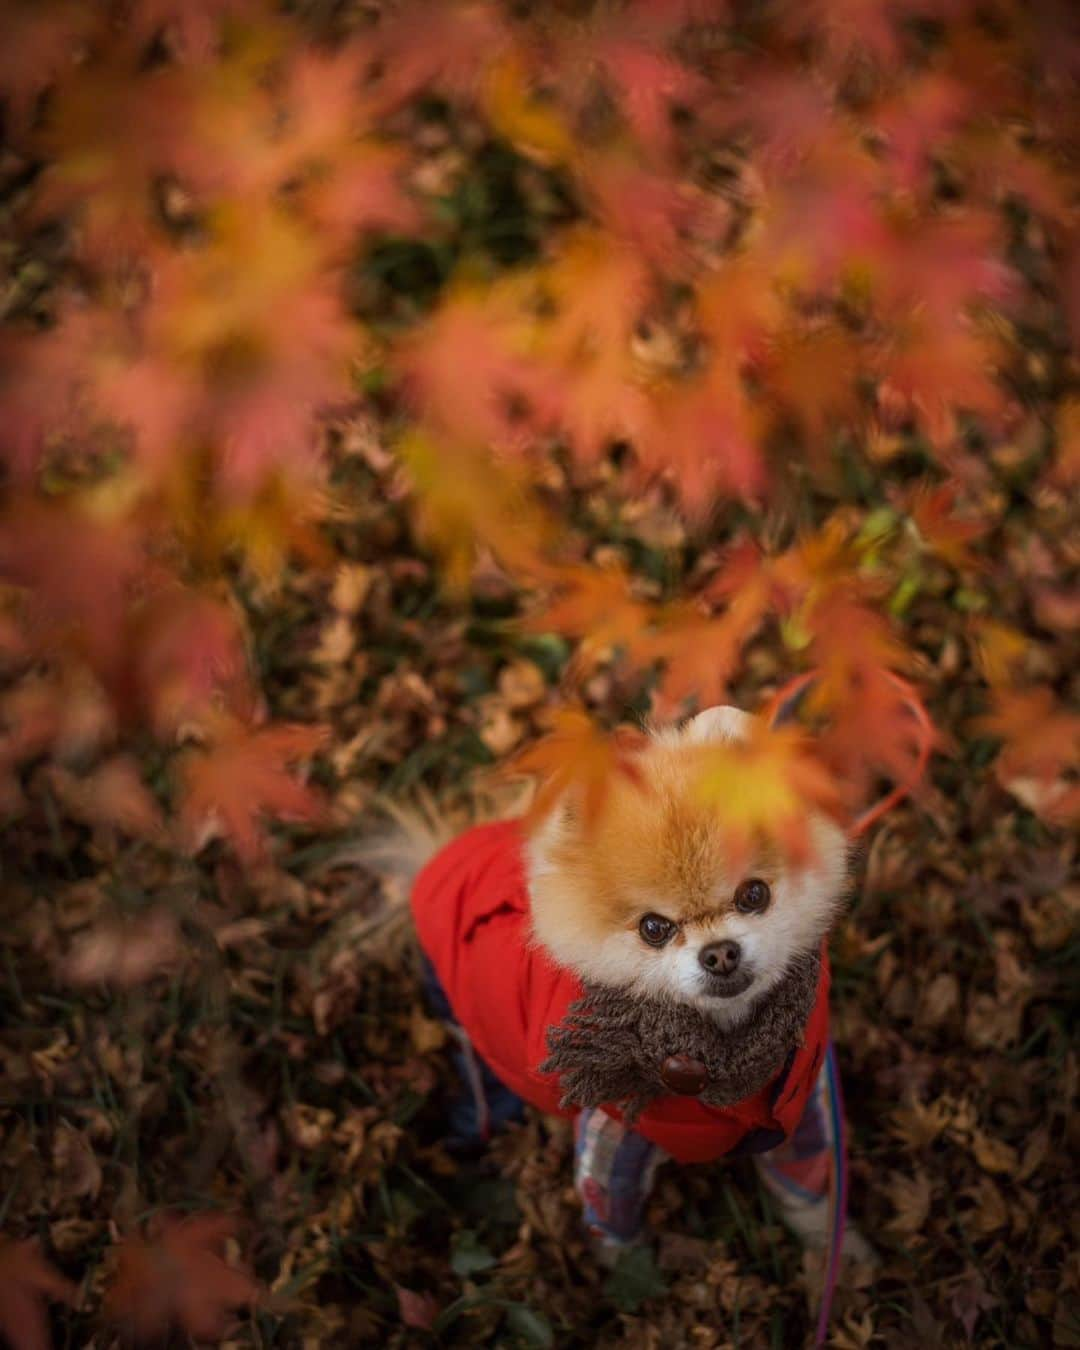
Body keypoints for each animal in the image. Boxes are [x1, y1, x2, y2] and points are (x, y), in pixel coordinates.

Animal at [378, 702, 869, 1269]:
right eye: (654, 927)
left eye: (754, 895)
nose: (720, 953)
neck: (721, 1049)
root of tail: (433, 862)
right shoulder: (614, 1131)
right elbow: (614, 1227)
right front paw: (630, 1278)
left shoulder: (800, 1117)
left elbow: (811, 1194)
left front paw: (838, 1255)